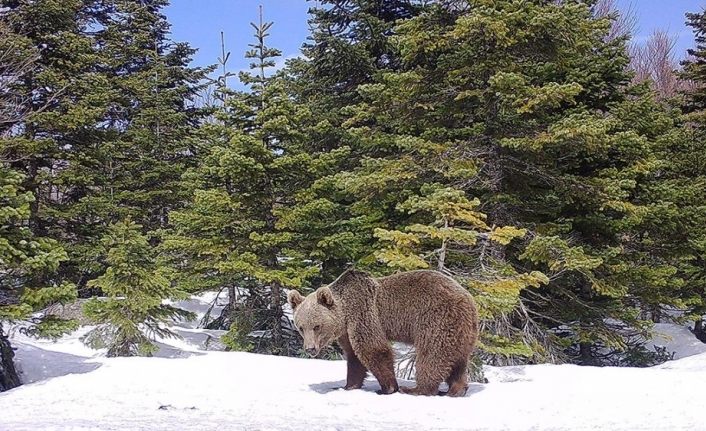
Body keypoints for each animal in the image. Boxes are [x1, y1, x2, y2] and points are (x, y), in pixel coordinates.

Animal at [286, 270, 478, 398]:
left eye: (316, 326)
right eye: (301, 327)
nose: (310, 349)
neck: (345, 315)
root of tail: (469, 300)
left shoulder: (363, 313)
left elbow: (373, 349)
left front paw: (388, 388)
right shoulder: (347, 332)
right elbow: (354, 358)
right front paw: (347, 386)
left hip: (436, 320)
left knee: (431, 355)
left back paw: (417, 389)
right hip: (461, 333)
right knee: (458, 361)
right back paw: (457, 389)